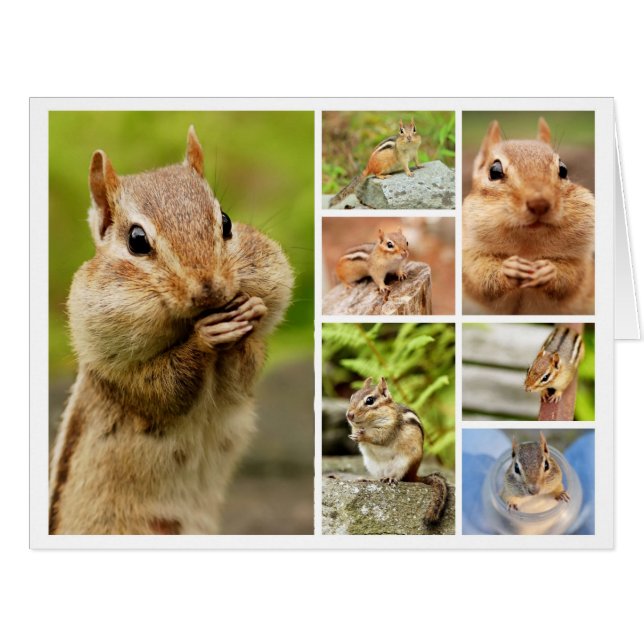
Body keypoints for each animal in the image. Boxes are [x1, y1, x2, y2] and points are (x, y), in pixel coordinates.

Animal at [48, 126, 293, 535]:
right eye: (137, 240)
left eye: (226, 221)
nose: (210, 289)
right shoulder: (120, 374)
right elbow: (165, 388)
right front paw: (204, 338)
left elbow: (244, 373)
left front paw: (250, 312)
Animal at [345, 377, 448, 527]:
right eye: (352, 396)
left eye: (370, 400)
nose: (349, 415)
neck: (368, 424)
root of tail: (414, 475)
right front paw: (354, 435)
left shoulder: (389, 427)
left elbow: (379, 437)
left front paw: (362, 436)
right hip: (372, 466)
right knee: (378, 479)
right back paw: (368, 479)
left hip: (403, 463)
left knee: (399, 477)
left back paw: (390, 478)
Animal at [462, 118, 595, 314]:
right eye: (494, 171)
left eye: (563, 170)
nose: (539, 204)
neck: (527, 250)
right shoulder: (469, 257)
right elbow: (481, 278)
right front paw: (510, 269)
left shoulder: (579, 264)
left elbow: (570, 278)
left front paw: (548, 271)